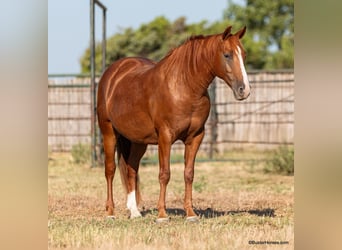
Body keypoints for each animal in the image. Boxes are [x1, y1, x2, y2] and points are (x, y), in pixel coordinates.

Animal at [97, 25, 250, 223]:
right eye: (227, 55)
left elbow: (189, 174)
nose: (244, 90)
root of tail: (113, 73)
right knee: (110, 170)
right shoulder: (165, 137)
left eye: (244, 54)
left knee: (131, 169)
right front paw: (162, 215)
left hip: (138, 141)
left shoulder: (195, 137)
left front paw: (191, 214)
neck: (184, 87)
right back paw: (110, 212)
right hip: (108, 132)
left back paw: (135, 212)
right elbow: (164, 174)